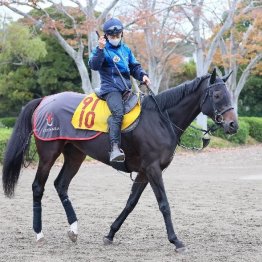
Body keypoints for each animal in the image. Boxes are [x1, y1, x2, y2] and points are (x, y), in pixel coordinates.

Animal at [2, 69, 238, 252]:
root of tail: (45, 100)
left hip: (75, 155)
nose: (233, 125)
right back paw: (39, 233)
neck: (161, 119)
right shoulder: (153, 169)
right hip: (49, 154)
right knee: (38, 187)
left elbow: (131, 203)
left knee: (61, 185)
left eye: (229, 93)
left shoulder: (144, 171)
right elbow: (164, 204)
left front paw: (110, 233)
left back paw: (73, 229)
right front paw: (175, 240)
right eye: (217, 94)